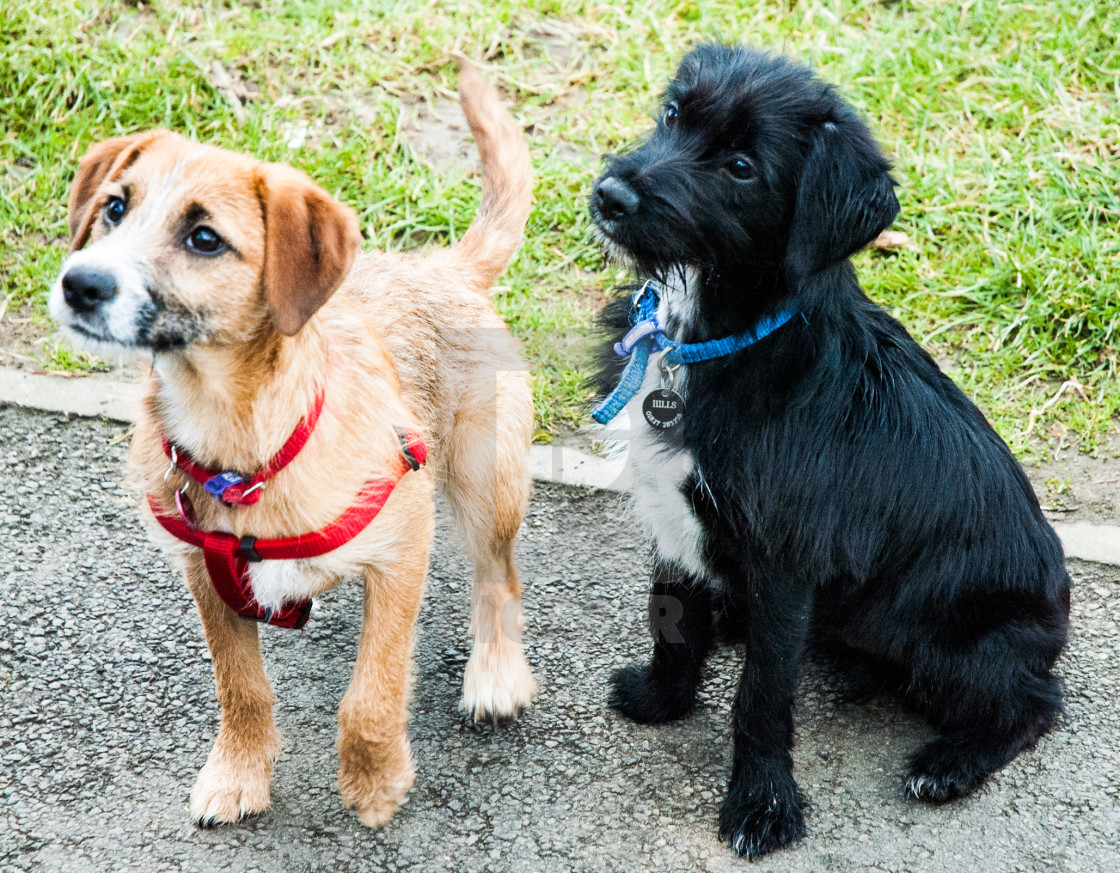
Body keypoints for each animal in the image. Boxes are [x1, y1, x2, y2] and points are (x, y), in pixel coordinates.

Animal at [50, 64, 539, 829]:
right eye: (114, 208)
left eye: (205, 239)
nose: (80, 283)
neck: (240, 440)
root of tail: (444, 269)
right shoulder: (207, 578)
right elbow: (241, 686)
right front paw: (239, 773)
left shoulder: (402, 547)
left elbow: (372, 690)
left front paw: (374, 783)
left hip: (488, 482)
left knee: (499, 574)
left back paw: (495, 673)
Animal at [586, 44, 1066, 856]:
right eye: (674, 113)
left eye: (742, 167)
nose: (609, 195)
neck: (721, 336)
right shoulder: (674, 516)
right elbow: (672, 616)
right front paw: (663, 697)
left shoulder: (785, 557)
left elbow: (761, 694)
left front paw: (761, 805)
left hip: (966, 643)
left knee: (1033, 703)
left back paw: (951, 761)